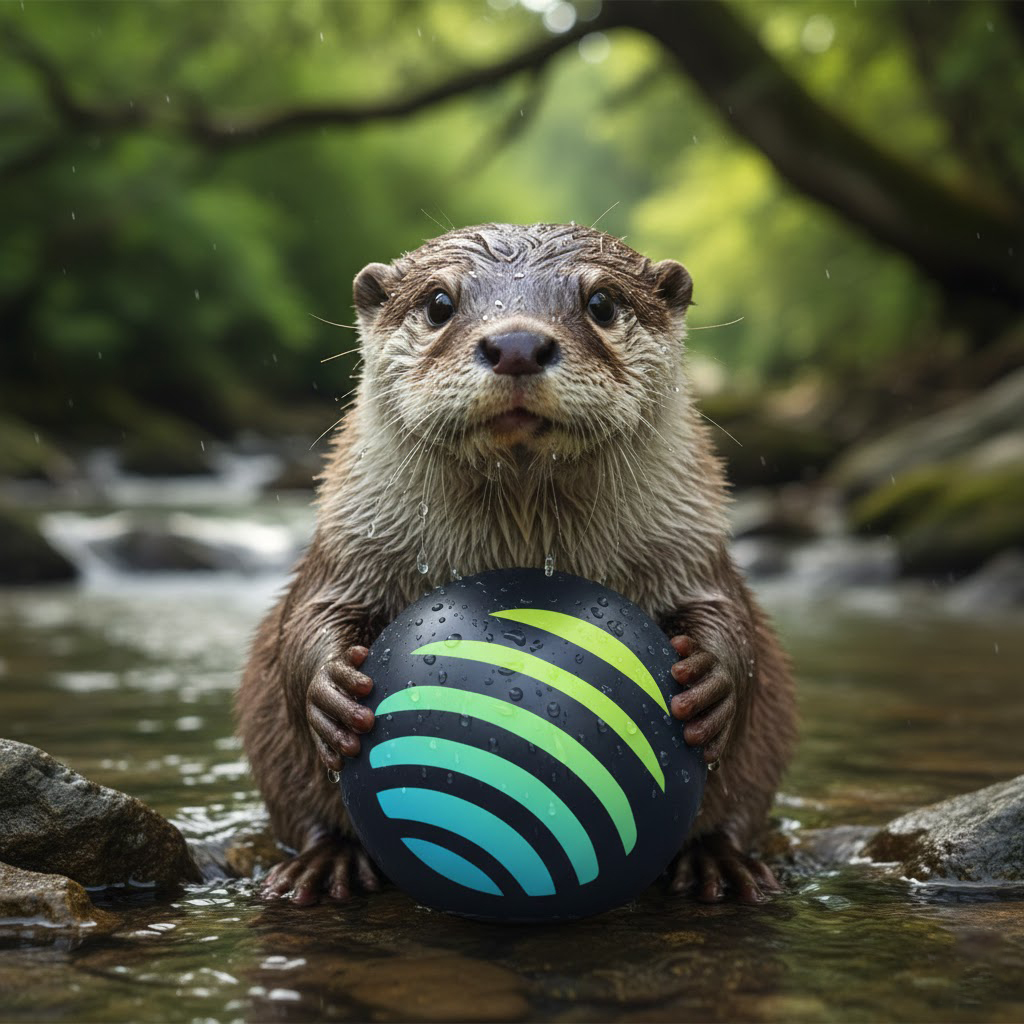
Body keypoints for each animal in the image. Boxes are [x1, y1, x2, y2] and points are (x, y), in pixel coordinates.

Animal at [237, 223, 796, 905]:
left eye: (602, 302)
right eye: (439, 303)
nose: (517, 344)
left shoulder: (690, 540)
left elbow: (726, 613)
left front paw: (713, 681)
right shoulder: (350, 539)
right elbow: (310, 615)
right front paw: (332, 688)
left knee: (738, 811)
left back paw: (720, 863)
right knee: (303, 815)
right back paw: (324, 864)